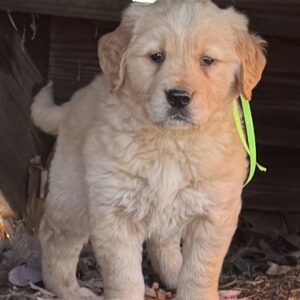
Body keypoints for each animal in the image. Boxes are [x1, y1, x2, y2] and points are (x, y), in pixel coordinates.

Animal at [31, 0, 266, 300]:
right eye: (156, 56)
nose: (178, 98)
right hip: (73, 194)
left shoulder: (214, 212)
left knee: (163, 241)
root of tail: (75, 100)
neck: (171, 142)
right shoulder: (115, 212)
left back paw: (174, 272)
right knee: (55, 236)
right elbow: (125, 278)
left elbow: (200, 271)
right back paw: (68, 290)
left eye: (207, 60)